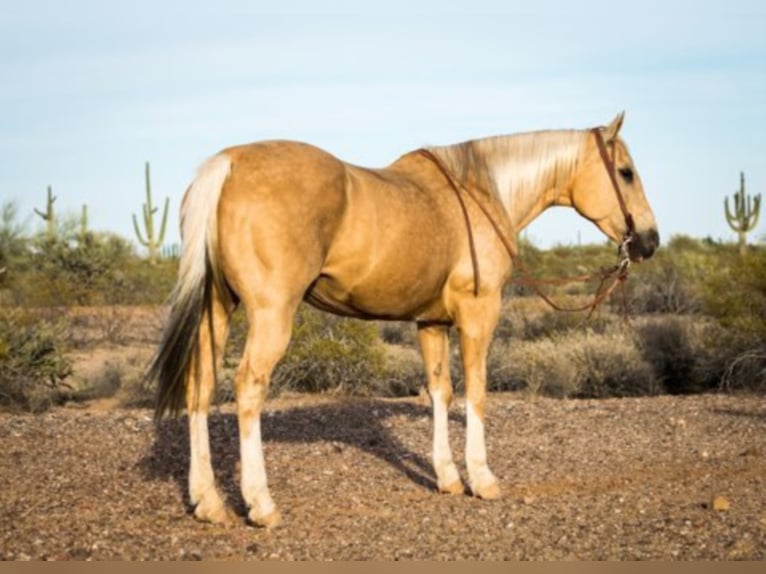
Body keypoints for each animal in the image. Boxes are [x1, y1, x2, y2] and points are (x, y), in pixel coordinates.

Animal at [148, 110, 660, 528]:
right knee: (249, 389)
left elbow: (440, 391)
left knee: (200, 387)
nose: (650, 240)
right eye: (626, 172)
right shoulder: (479, 314)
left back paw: (209, 502)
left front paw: (448, 478)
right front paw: (482, 479)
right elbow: (476, 392)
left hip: (217, 308)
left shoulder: (430, 323)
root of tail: (229, 163)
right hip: (271, 314)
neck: (479, 193)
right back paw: (260, 503)